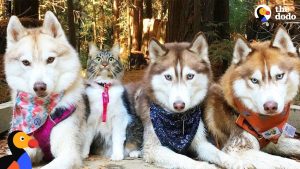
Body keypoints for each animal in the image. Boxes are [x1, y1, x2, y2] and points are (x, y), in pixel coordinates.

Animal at [129, 33, 253, 169]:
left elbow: (219, 153)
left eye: (189, 76)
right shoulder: (153, 149)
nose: (179, 105)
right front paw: (205, 166)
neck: (178, 121)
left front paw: (237, 162)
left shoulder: (201, 142)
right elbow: (182, 158)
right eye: (168, 77)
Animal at [206, 25, 300, 168]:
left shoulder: (271, 142)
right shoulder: (236, 149)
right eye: (254, 80)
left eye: (279, 76)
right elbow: (283, 162)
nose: (270, 107)